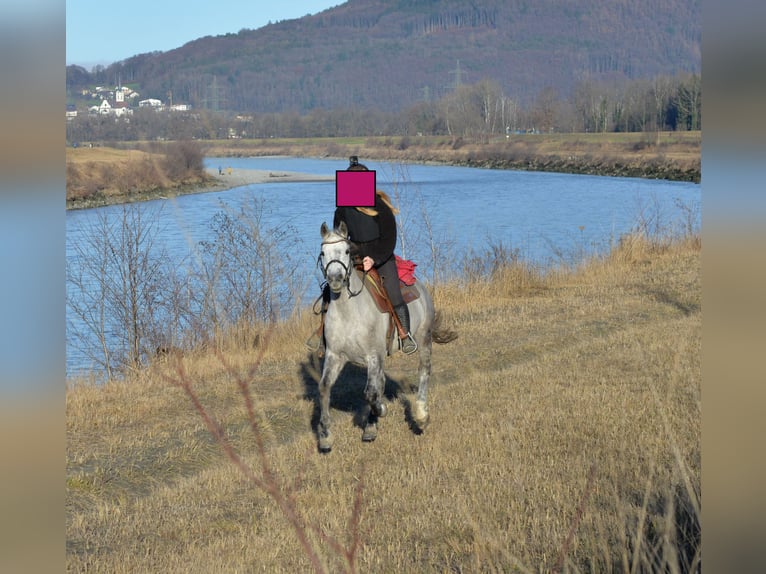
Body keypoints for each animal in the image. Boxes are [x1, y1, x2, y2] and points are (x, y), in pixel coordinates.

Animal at [315, 221, 457, 452]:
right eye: (323, 253)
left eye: (346, 251)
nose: (335, 279)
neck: (349, 311)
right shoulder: (335, 355)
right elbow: (325, 387)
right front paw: (326, 436)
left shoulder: (374, 355)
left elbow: (371, 393)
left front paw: (381, 410)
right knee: (380, 382)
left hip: (424, 338)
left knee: (423, 371)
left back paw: (421, 416)